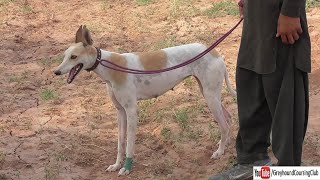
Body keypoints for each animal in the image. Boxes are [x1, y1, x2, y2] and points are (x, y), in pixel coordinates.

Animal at [53, 25, 236, 176]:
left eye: (74, 57)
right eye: (64, 56)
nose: (56, 72)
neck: (110, 66)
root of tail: (216, 53)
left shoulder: (131, 111)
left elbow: (129, 144)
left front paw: (126, 168)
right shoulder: (120, 112)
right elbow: (120, 143)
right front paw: (116, 165)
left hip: (211, 98)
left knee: (224, 125)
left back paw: (219, 152)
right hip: (209, 94)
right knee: (228, 119)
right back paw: (225, 145)